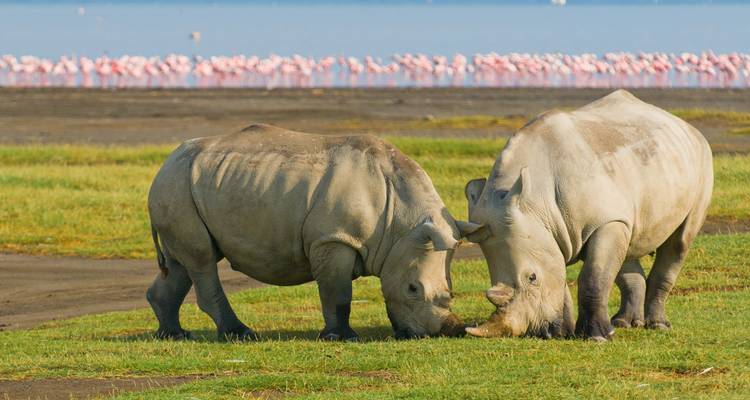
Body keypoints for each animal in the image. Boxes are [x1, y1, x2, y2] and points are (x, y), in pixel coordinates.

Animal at [147, 124, 469, 341]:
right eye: (413, 288)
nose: (446, 330)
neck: (401, 223)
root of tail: (166, 163)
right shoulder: (334, 238)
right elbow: (337, 291)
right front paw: (342, 337)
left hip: (186, 186)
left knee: (183, 262)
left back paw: (174, 334)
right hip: (176, 184)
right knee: (201, 259)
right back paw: (240, 334)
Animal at [462, 90, 713, 341]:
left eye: (532, 277)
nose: (539, 333)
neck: (535, 201)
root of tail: (683, 124)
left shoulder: (604, 221)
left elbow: (593, 276)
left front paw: (596, 337)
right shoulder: (550, 233)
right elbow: (560, 275)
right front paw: (564, 333)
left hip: (702, 159)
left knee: (679, 242)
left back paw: (657, 325)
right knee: (628, 244)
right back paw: (624, 323)